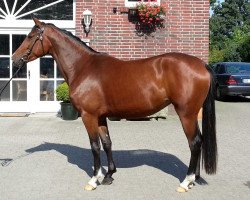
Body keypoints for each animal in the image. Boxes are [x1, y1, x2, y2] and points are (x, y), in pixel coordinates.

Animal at [12, 17, 217, 192]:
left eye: (30, 36)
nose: (14, 59)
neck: (83, 67)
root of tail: (201, 64)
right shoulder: (100, 116)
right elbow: (107, 143)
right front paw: (108, 175)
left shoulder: (88, 116)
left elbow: (94, 146)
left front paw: (94, 179)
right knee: (199, 140)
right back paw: (195, 178)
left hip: (186, 114)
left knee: (194, 143)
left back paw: (186, 181)